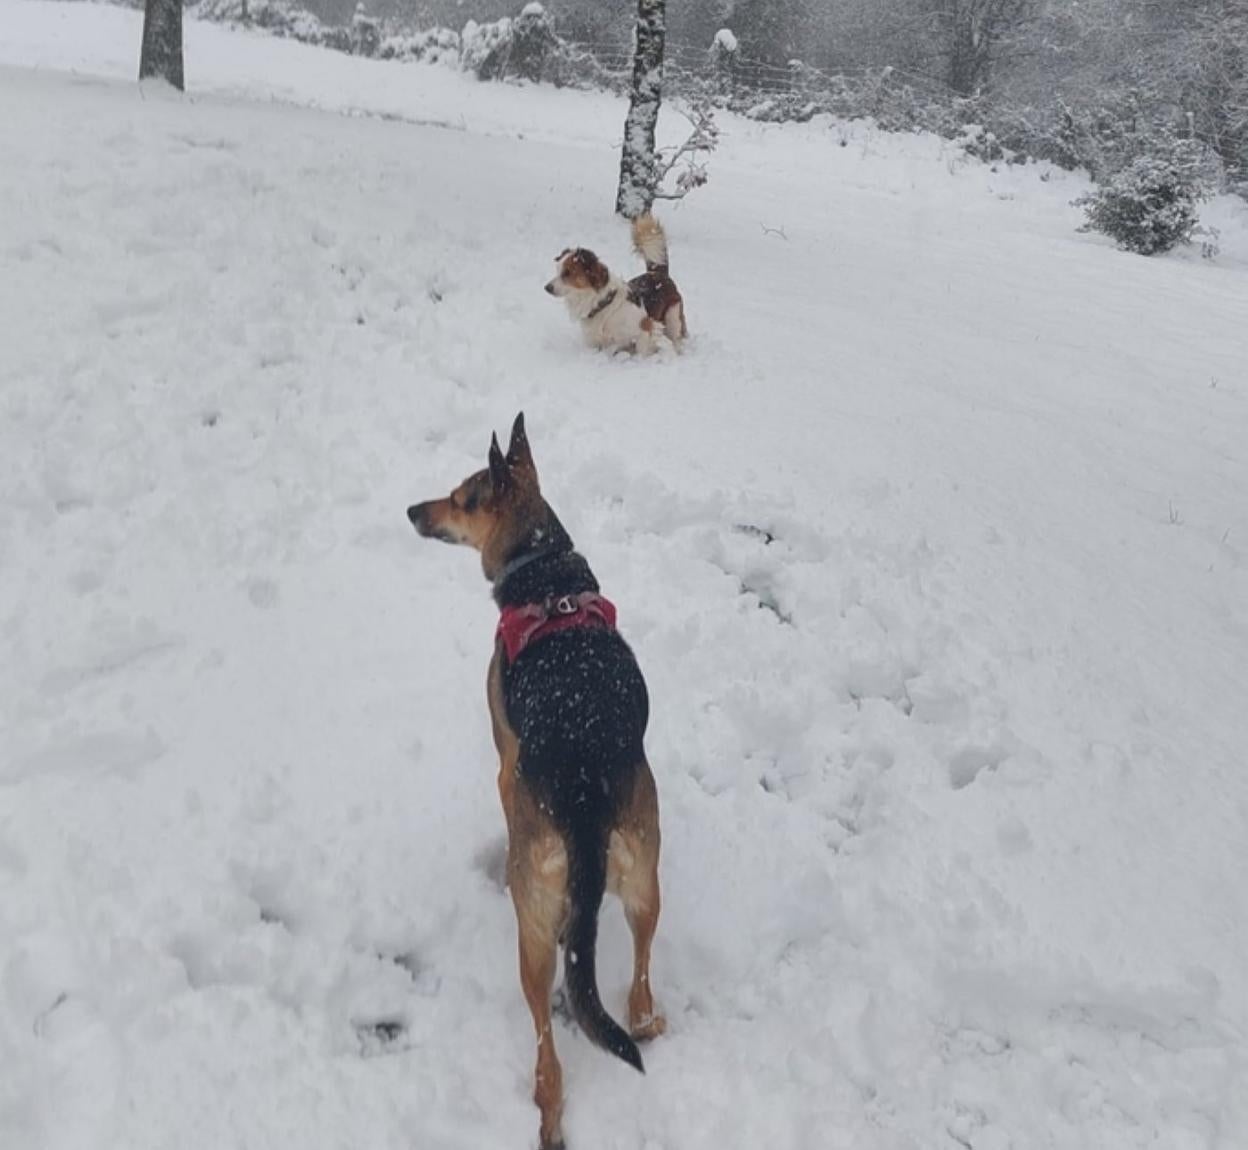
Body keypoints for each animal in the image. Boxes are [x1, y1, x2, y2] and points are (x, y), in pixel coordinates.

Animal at [406, 414, 663, 1148]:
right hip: (644, 876)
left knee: (548, 1050)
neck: (542, 568)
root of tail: (583, 802)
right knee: (638, 991)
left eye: (459, 498)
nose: (411, 511)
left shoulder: (503, 757)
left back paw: (548, 1116)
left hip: (535, 933)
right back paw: (648, 1021)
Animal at [544, 214, 688, 354]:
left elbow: (641, 353)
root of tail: (657, 273)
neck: (601, 305)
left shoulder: (645, 328)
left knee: (676, 338)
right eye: (557, 270)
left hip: (673, 318)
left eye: (567, 273)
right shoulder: (594, 342)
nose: (547, 288)